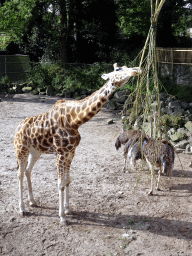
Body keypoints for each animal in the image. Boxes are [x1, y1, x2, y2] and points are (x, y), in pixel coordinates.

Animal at [13, 63, 141, 224]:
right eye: (118, 69)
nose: (137, 70)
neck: (75, 121)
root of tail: (17, 129)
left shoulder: (71, 152)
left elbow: (68, 181)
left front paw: (68, 209)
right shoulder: (60, 153)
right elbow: (60, 184)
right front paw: (62, 217)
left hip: (35, 151)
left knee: (28, 171)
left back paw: (32, 202)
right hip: (21, 150)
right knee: (19, 174)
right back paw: (22, 209)